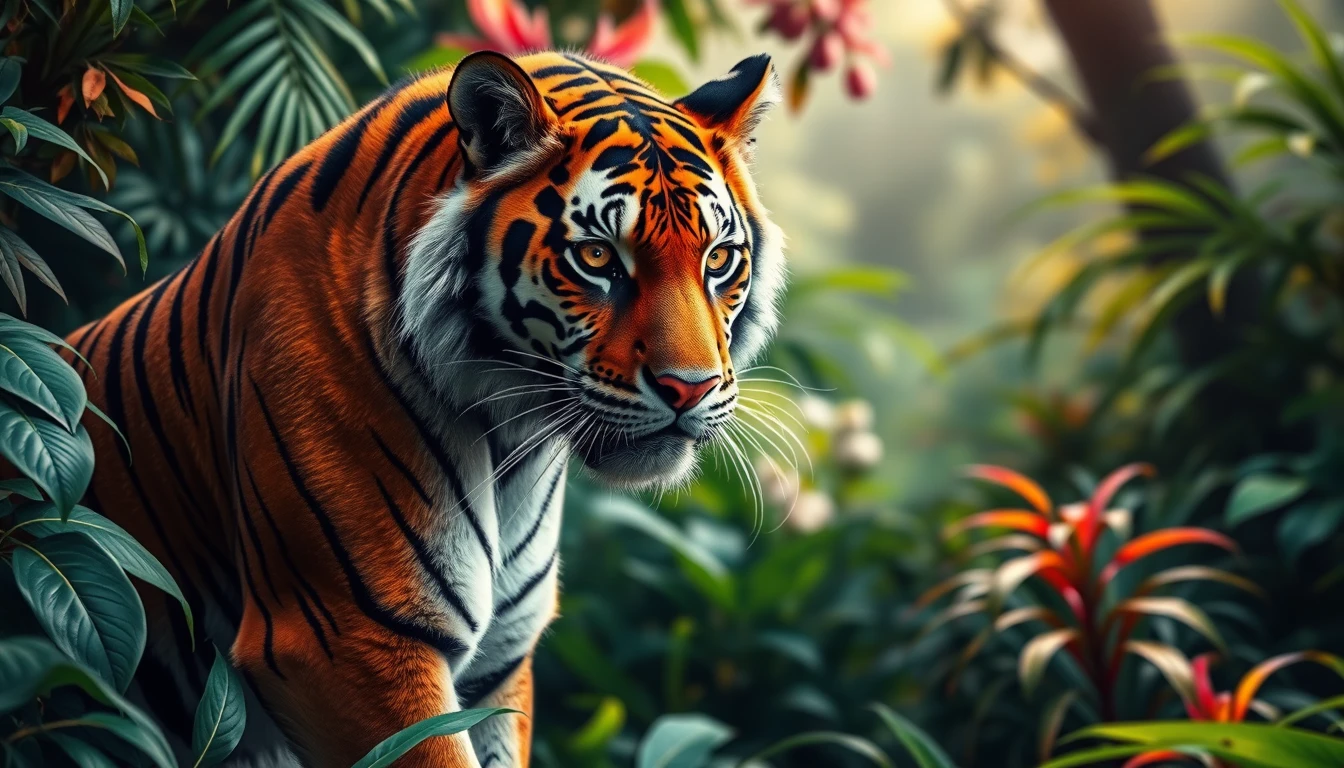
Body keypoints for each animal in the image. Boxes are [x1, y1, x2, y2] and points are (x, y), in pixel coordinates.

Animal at [62, 50, 784, 767]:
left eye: (719, 258)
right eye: (598, 256)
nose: (689, 388)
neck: (511, 444)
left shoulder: (499, 664)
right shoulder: (346, 638)